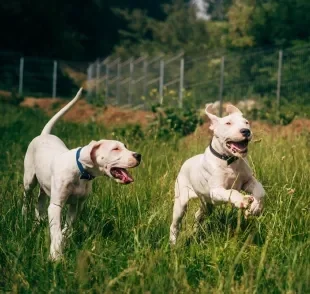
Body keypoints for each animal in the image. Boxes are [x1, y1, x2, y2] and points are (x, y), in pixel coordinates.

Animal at [22, 88, 142, 260]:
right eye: (115, 149)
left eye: (125, 146)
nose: (138, 155)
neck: (80, 172)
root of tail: (44, 135)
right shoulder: (57, 205)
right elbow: (56, 231)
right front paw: (56, 256)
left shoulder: (76, 205)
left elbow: (67, 228)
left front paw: (64, 243)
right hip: (29, 180)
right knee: (27, 197)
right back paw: (25, 218)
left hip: (45, 186)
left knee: (40, 200)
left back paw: (38, 221)